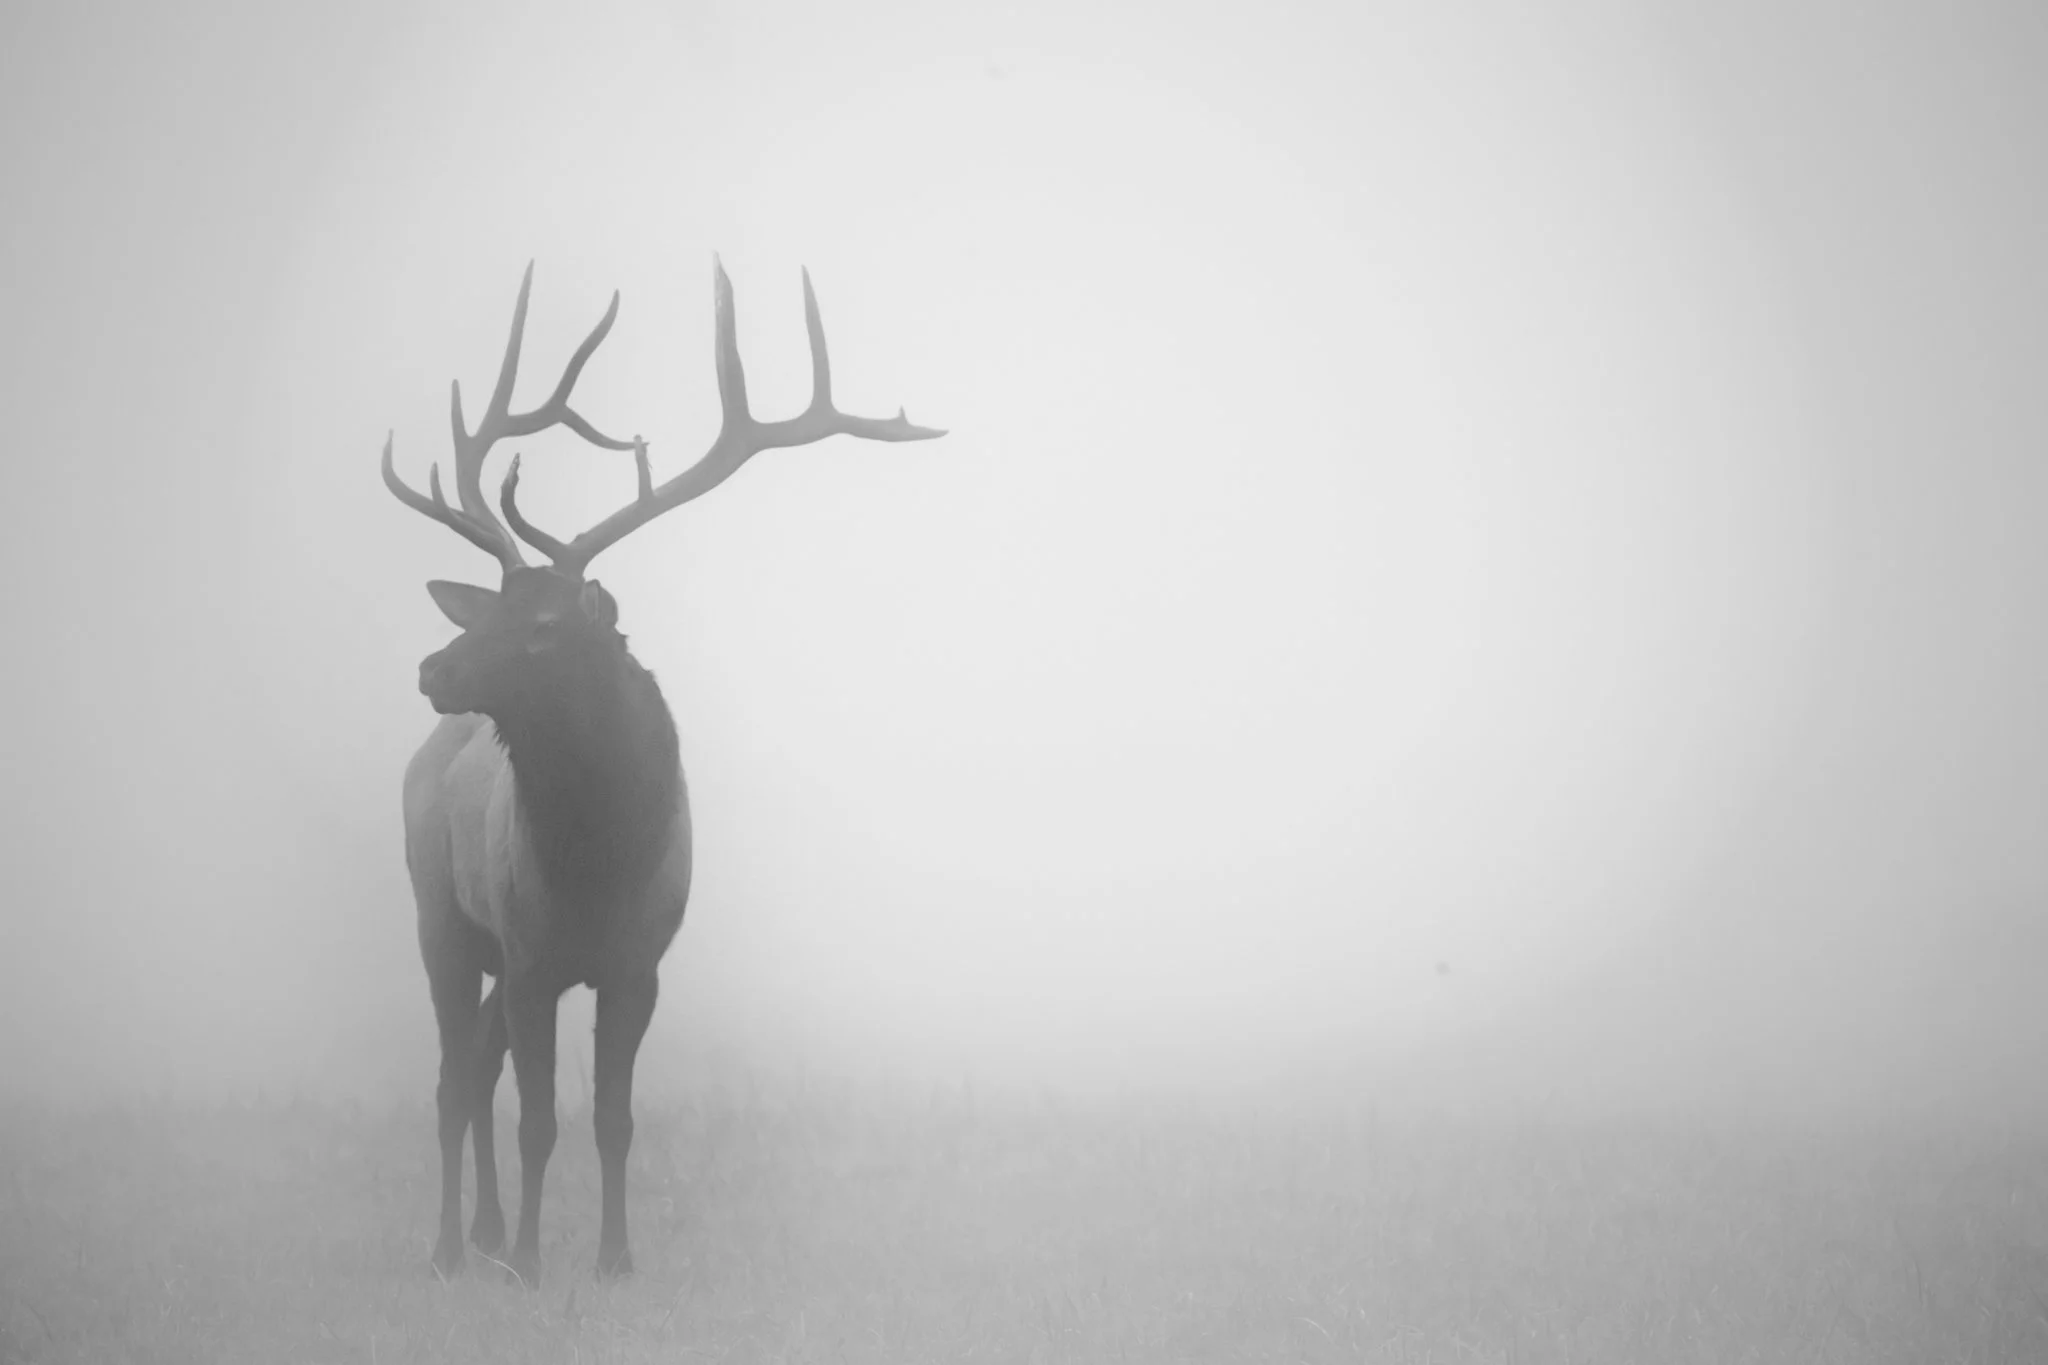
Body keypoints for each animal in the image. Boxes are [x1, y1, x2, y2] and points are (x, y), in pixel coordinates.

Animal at [380, 258, 942, 1284]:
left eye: (544, 624)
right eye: (490, 606)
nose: (432, 668)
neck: (599, 863)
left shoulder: (638, 964)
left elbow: (614, 1118)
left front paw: (613, 1259)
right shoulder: (533, 954)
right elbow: (538, 1119)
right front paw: (533, 1264)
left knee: (474, 1068)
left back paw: (482, 1233)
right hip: (441, 914)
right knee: (451, 1079)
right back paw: (449, 1247)